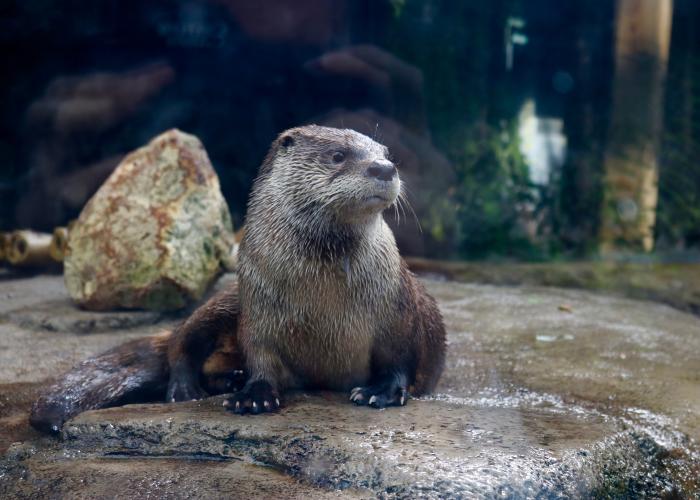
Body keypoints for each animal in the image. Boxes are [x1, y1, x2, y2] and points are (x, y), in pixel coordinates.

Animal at [30, 123, 446, 432]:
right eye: (338, 156)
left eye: (386, 153)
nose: (384, 168)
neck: (325, 298)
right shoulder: (260, 308)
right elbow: (260, 354)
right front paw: (254, 395)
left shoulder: (397, 307)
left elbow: (399, 355)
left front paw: (382, 392)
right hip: (227, 300)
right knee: (181, 342)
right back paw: (190, 388)